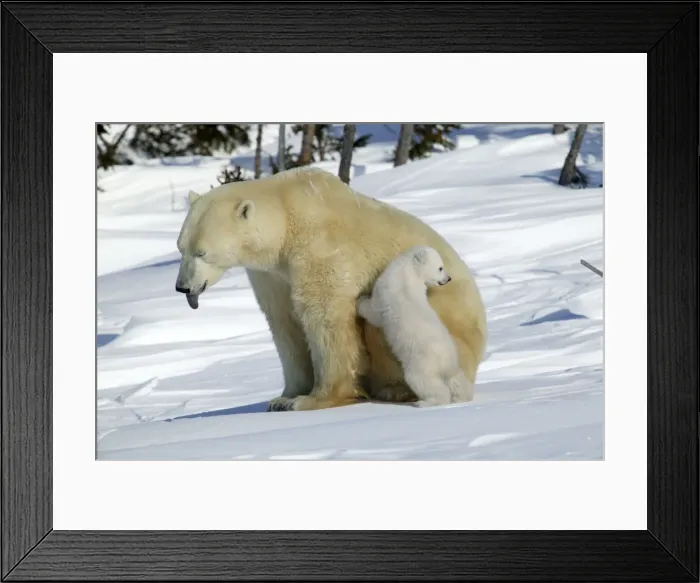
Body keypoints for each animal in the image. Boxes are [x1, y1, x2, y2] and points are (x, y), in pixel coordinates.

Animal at [356, 245, 474, 407]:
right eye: (440, 267)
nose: (448, 278)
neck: (408, 271)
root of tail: (446, 361)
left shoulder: (385, 294)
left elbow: (374, 312)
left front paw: (359, 301)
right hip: (452, 360)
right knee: (456, 379)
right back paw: (462, 397)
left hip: (421, 363)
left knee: (424, 382)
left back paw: (424, 402)